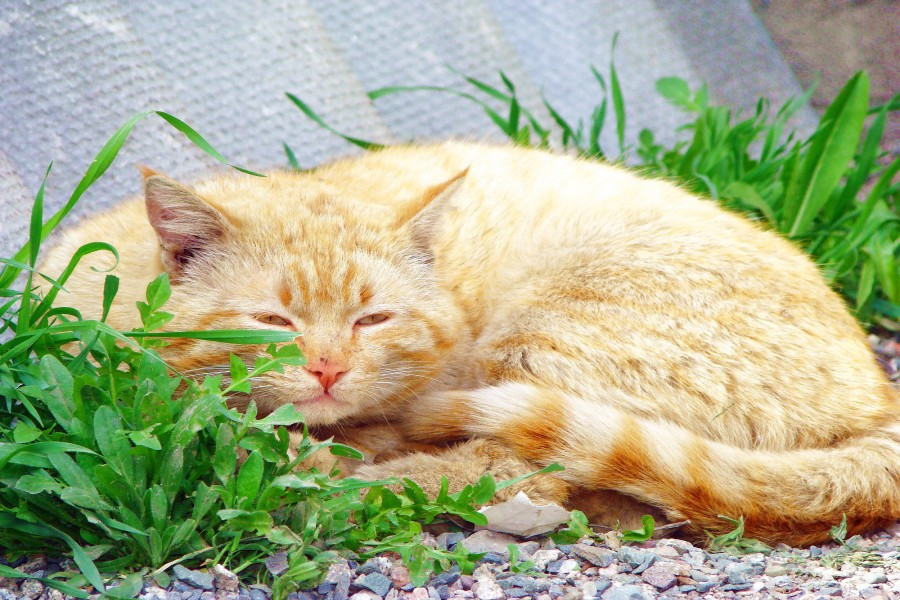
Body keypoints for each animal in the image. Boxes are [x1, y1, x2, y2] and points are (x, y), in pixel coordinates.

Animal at [42, 143, 900, 548]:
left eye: (373, 319)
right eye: (275, 323)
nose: (327, 368)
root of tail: (876, 394)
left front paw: (318, 451)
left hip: (549, 332)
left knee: (527, 472)